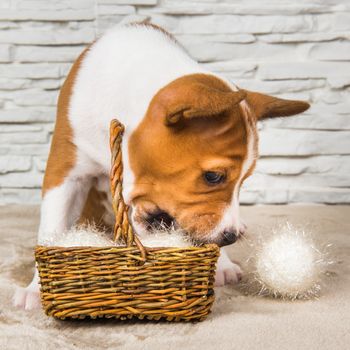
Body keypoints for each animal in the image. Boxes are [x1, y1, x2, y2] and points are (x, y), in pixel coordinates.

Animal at [13, 22, 308, 308]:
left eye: (243, 181)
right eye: (213, 176)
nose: (230, 236)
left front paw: (222, 262)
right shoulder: (65, 174)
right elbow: (52, 228)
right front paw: (37, 289)